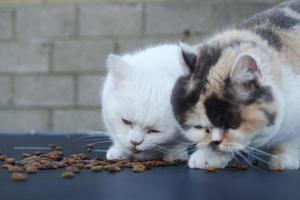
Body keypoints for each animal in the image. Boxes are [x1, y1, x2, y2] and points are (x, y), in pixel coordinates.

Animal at [171, 0, 300, 170]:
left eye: (233, 125)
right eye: (199, 127)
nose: (215, 142)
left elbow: (291, 138)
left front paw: (284, 157)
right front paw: (209, 156)